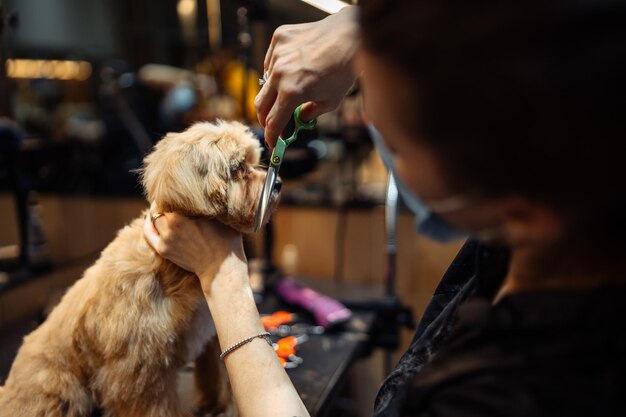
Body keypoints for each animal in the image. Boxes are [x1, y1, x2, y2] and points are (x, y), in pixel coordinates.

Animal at [0, 118, 272, 414]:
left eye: (253, 162)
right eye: (238, 169)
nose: (278, 183)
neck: (175, 271)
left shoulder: (210, 340)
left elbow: (215, 376)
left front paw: (216, 407)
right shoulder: (138, 373)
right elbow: (156, 406)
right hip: (63, 391)